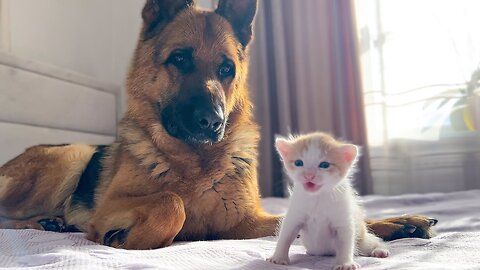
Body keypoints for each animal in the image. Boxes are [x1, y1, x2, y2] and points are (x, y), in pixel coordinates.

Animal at [0, 0, 436, 249]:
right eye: (179, 59)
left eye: (227, 69)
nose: (213, 122)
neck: (196, 163)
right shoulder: (110, 209)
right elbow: (171, 203)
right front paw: (128, 238)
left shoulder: (247, 222)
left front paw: (398, 223)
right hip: (70, 157)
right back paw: (46, 221)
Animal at [268, 133, 388, 270]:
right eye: (299, 163)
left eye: (324, 165)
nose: (309, 175)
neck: (317, 197)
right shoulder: (294, 216)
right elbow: (285, 236)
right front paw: (278, 258)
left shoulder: (343, 218)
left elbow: (345, 241)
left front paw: (345, 263)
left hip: (362, 240)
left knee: (372, 242)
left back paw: (380, 250)